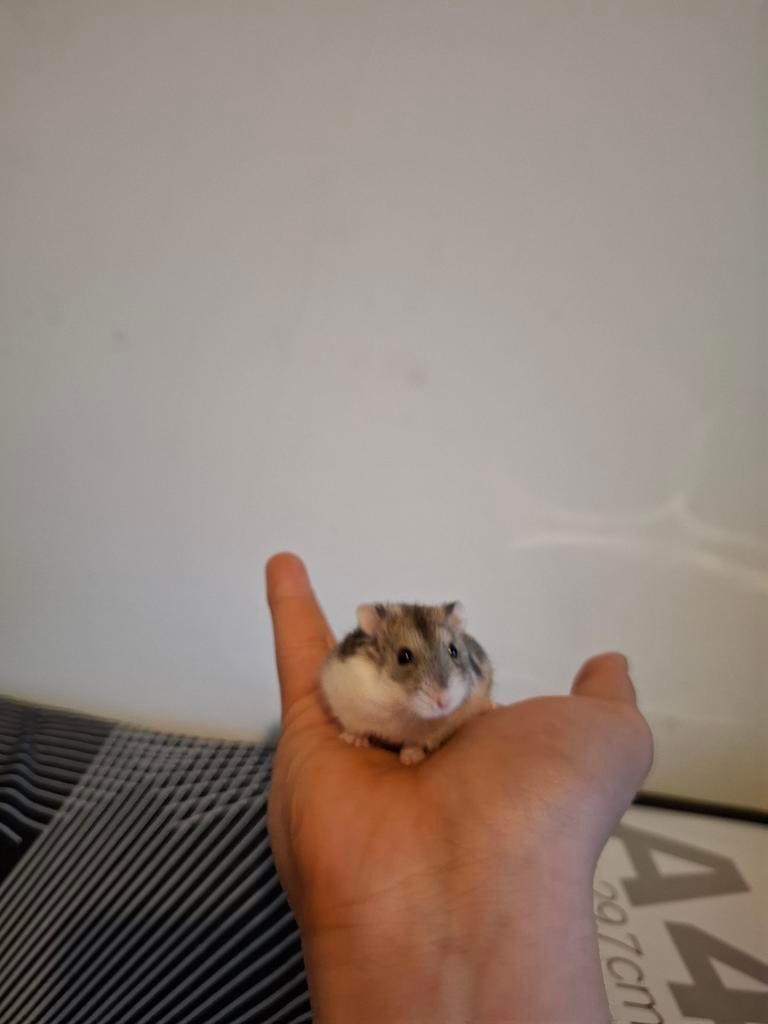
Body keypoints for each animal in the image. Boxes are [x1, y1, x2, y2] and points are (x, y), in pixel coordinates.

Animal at [320, 601, 493, 765]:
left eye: (454, 651)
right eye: (403, 656)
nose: (444, 701)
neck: (401, 704)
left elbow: (413, 743)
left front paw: (410, 759)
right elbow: (356, 728)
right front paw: (353, 741)